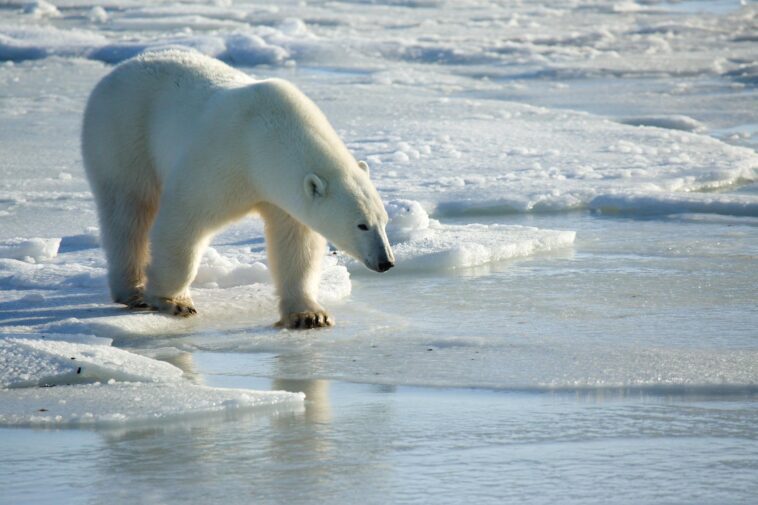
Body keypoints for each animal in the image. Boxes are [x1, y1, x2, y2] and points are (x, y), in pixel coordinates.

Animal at [81, 50, 394, 329]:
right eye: (361, 225)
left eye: (384, 221)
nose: (386, 262)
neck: (264, 139)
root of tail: (117, 70)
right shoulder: (223, 160)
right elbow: (184, 219)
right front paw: (174, 301)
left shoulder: (281, 194)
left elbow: (296, 244)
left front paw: (309, 315)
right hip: (122, 134)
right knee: (128, 210)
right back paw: (133, 291)